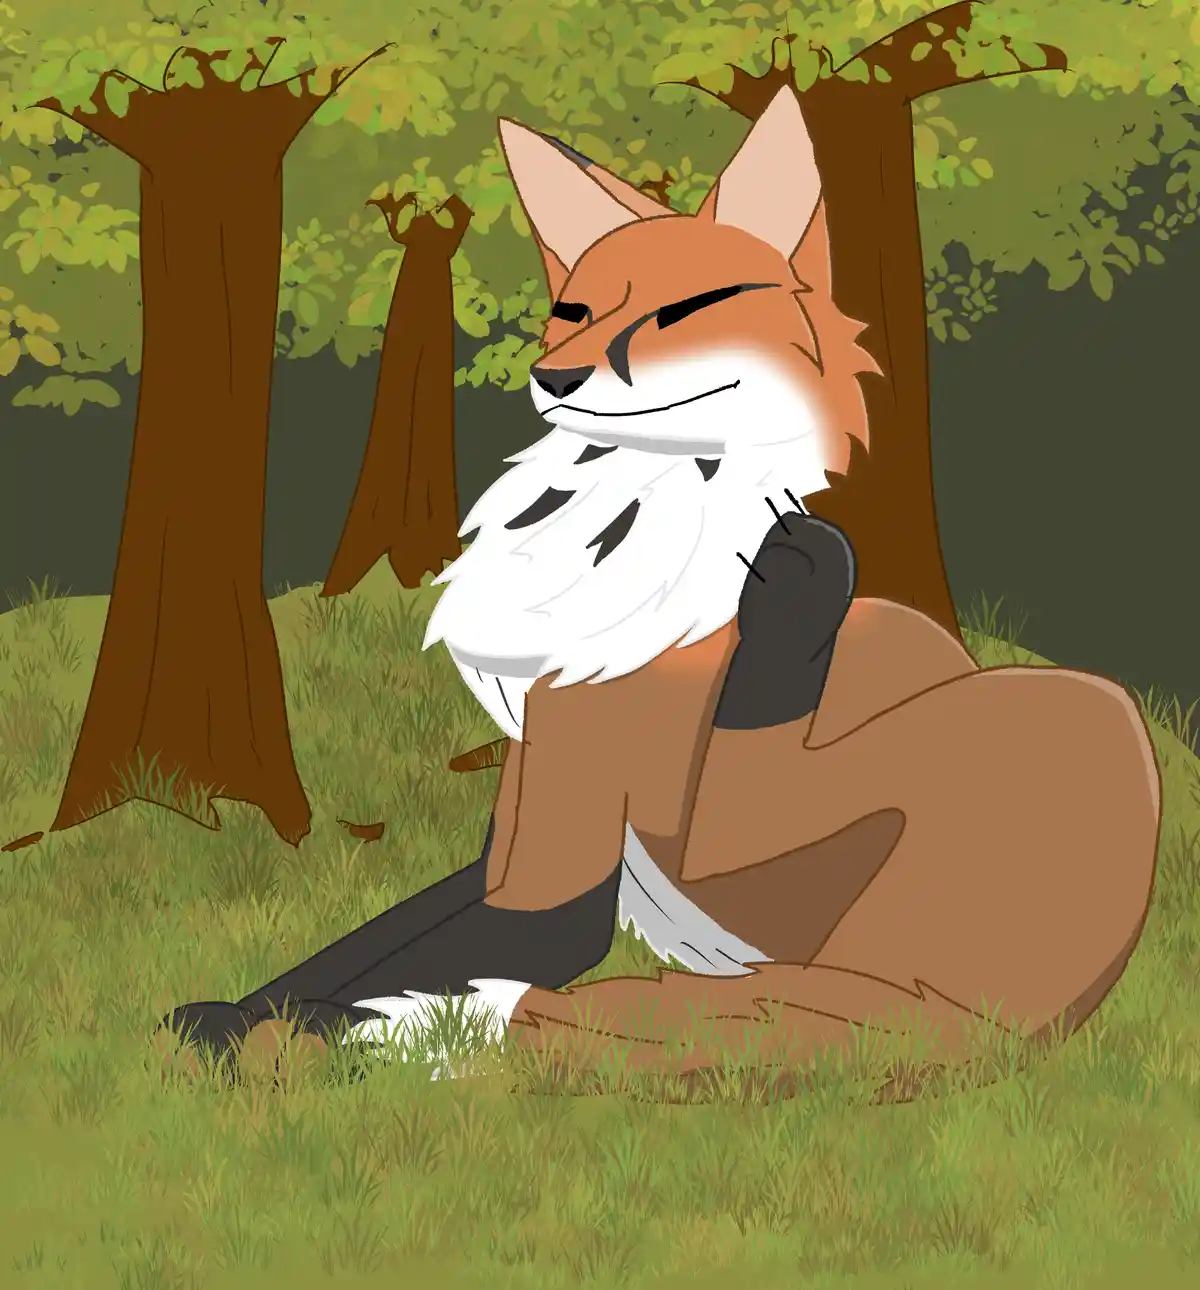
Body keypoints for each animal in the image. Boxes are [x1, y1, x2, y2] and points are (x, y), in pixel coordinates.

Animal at [158, 86, 1162, 1092]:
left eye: (681, 312)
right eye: (570, 311)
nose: (555, 374)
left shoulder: (581, 815)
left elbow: (511, 953)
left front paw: (298, 1037)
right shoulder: (524, 808)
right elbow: (379, 947)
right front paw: (227, 1021)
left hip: (1046, 747)